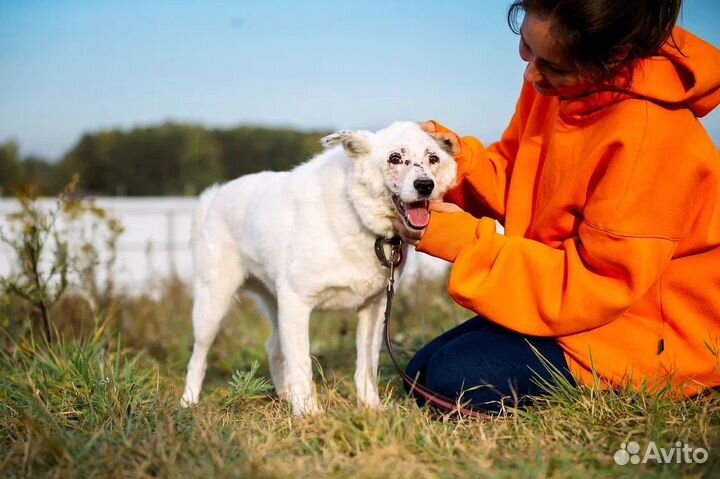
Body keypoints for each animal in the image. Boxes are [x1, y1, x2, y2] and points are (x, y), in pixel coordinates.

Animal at [183, 121, 458, 416]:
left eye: (433, 158)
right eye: (395, 158)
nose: (425, 185)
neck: (357, 214)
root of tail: (214, 196)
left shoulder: (374, 307)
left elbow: (367, 364)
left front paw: (370, 407)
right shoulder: (296, 302)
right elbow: (302, 362)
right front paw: (307, 413)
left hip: (274, 303)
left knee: (274, 349)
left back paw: (285, 395)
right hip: (214, 305)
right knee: (199, 355)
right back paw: (188, 401)